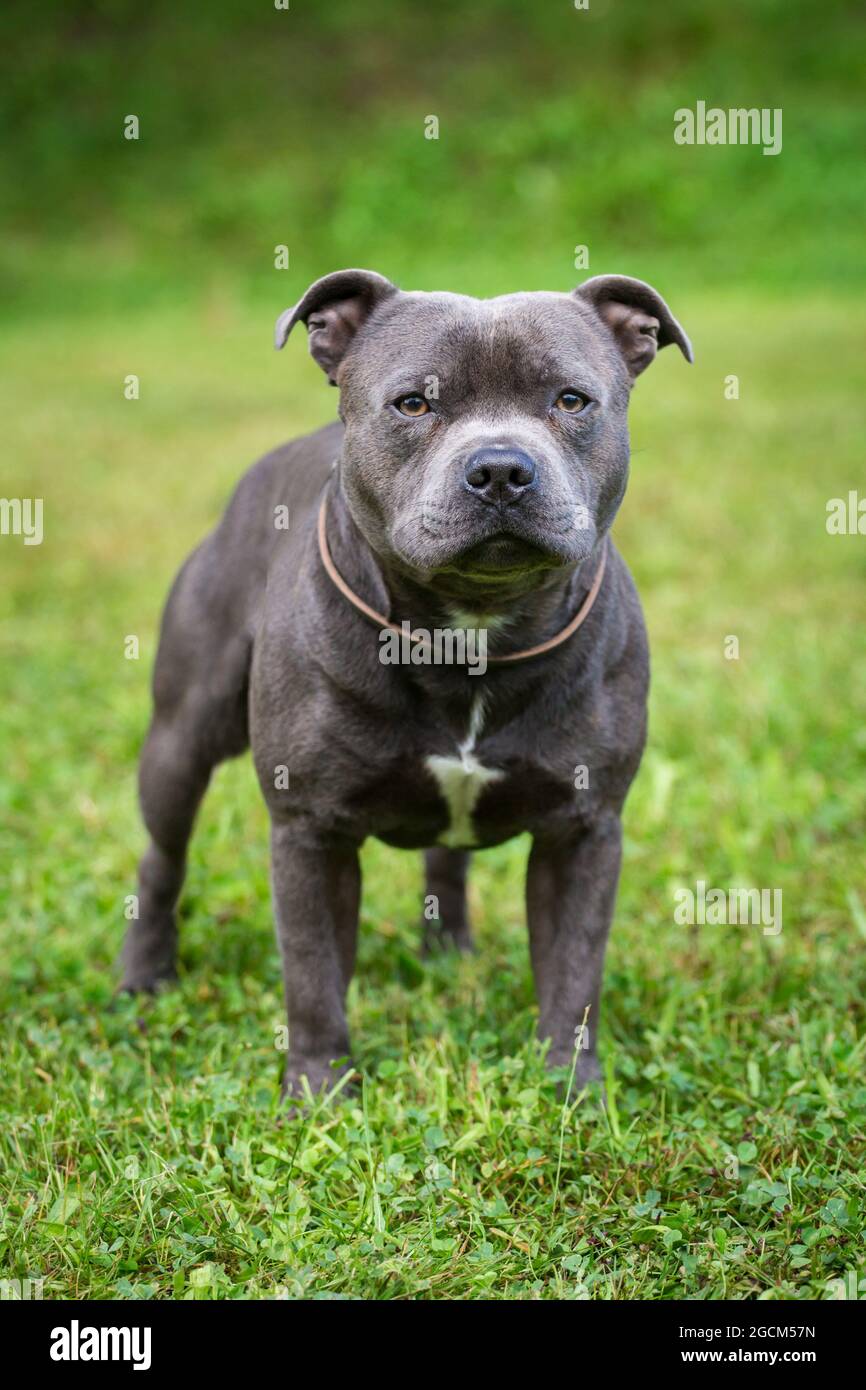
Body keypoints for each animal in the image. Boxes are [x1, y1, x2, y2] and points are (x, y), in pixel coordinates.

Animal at [120, 268, 692, 1095]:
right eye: (413, 404)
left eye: (571, 400)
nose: (500, 468)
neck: (471, 632)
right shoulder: (310, 831)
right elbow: (314, 976)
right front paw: (319, 1093)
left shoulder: (584, 830)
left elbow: (574, 972)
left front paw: (570, 1090)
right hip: (183, 736)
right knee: (162, 855)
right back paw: (143, 976)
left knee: (445, 858)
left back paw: (448, 951)